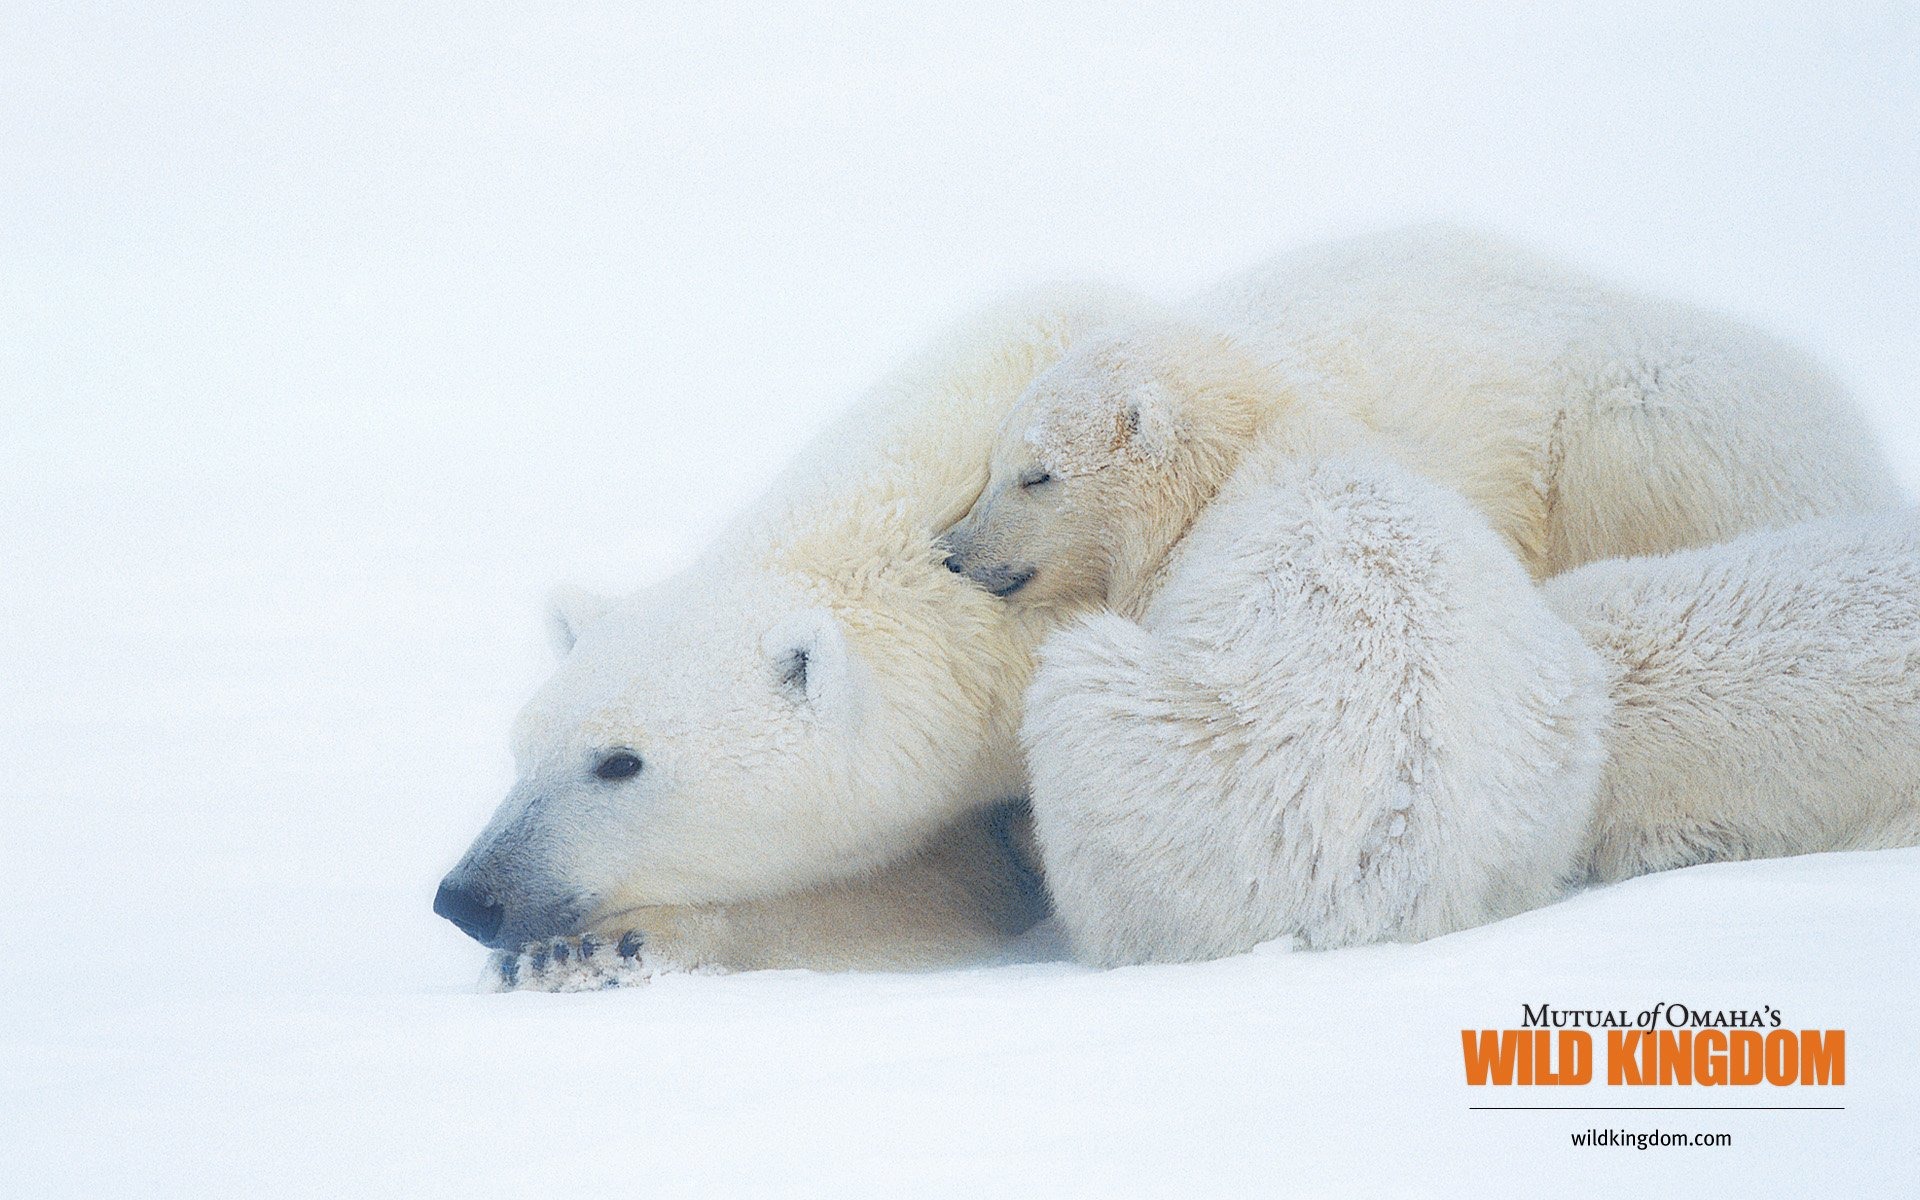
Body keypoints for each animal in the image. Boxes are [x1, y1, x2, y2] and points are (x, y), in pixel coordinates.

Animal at [432, 224, 1889, 983]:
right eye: (519, 748)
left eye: (621, 763)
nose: (466, 896)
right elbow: (924, 886)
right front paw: (597, 951)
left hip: (1659, 415)